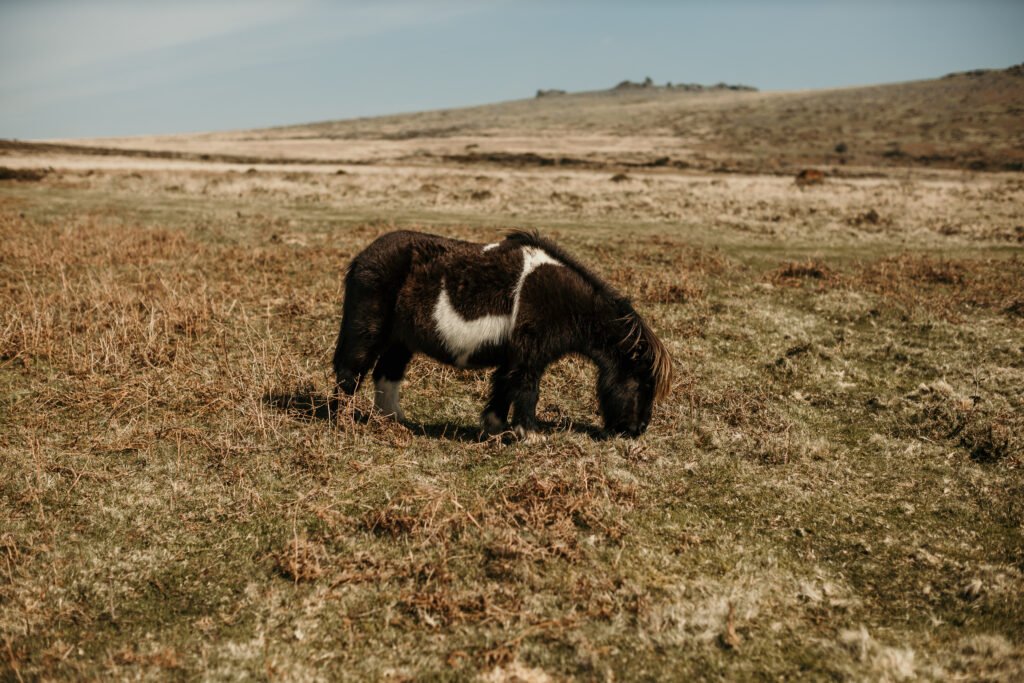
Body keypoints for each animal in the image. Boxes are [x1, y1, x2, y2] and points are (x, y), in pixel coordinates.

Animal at [333, 231, 671, 438]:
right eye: (643, 382)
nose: (638, 429)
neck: (563, 299)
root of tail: (362, 258)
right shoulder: (529, 355)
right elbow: (526, 388)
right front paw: (530, 434)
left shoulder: (514, 356)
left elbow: (503, 388)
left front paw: (496, 428)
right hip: (368, 332)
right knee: (350, 372)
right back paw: (344, 422)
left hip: (401, 342)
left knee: (385, 374)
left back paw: (395, 421)